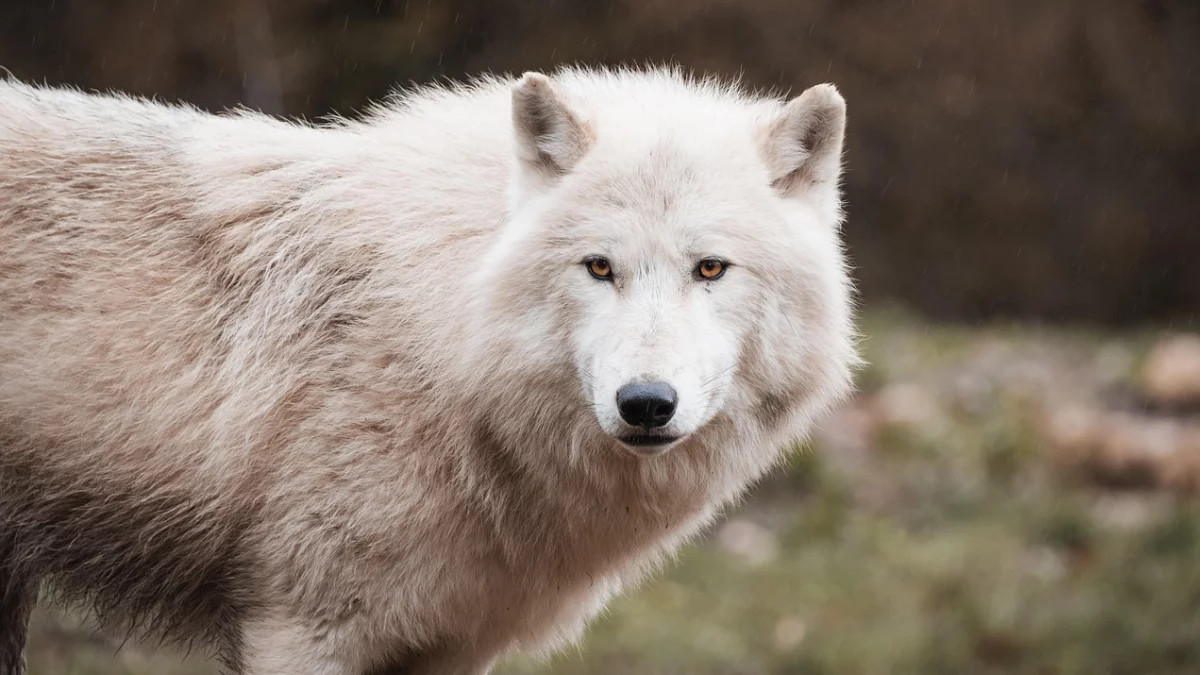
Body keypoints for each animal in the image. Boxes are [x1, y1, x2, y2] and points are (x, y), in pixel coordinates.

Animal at [0, 64, 864, 672]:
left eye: (710, 268)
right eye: (599, 267)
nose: (645, 402)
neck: (447, 340)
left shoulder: (450, 645)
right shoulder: (298, 630)